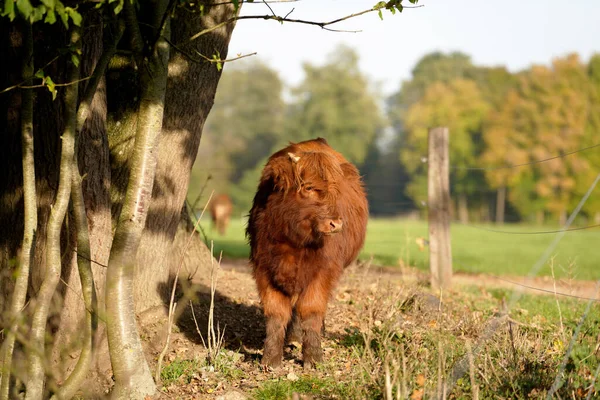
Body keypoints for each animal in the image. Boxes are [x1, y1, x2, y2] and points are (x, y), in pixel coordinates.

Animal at [246, 138, 368, 368]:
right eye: (309, 187)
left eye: (335, 191)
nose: (336, 224)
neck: (293, 242)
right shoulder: (264, 269)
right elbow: (276, 313)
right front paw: (271, 358)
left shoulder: (323, 272)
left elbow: (312, 310)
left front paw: (314, 357)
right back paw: (293, 337)